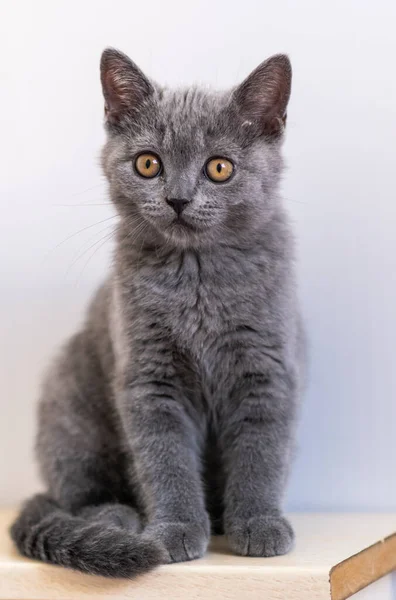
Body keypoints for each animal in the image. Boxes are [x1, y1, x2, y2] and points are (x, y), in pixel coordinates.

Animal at [10, 48, 304, 576]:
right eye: (148, 164)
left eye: (220, 168)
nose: (178, 199)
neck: (198, 277)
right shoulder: (149, 377)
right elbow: (164, 460)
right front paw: (175, 530)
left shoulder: (267, 371)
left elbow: (262, 454)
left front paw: (259, 522)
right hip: (71, 398)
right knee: (76, 493)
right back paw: (116, 517)